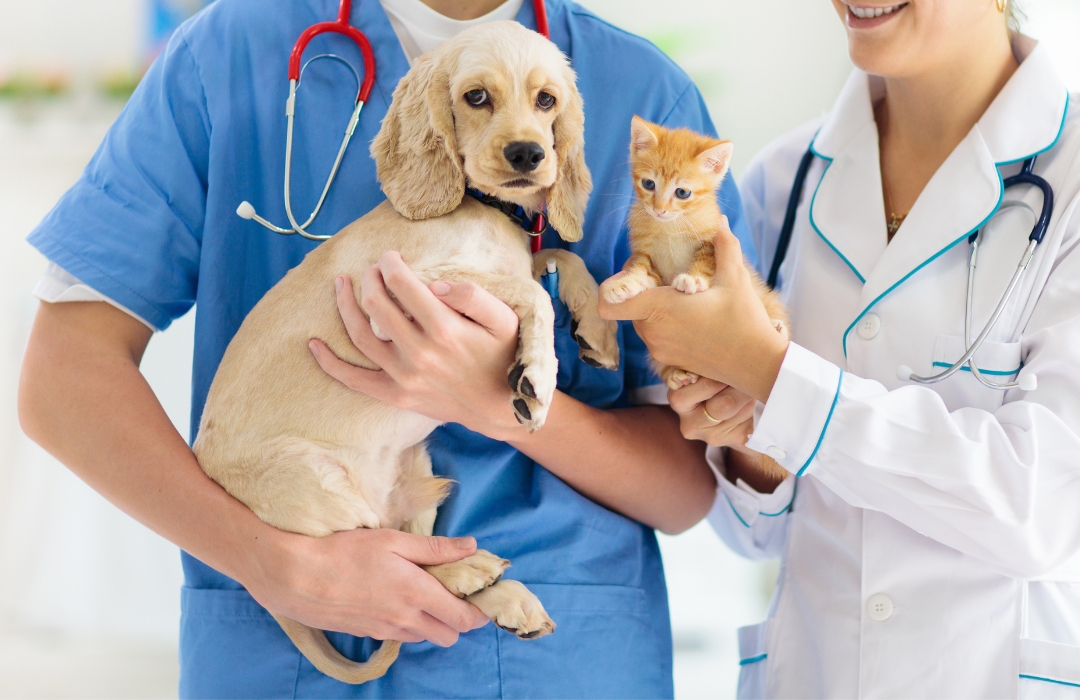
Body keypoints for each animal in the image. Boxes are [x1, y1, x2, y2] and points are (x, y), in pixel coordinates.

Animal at [604, 115, 790, 388]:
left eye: (682, 192)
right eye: (648, 184)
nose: (659, 209)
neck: (670, 226)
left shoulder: (711, 241)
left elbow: (705, 262)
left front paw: (692, 279)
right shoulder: (649, 258)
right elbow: (641, 271)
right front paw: (624, 284)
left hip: (767, 298)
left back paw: (777, 327)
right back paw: (676, 374)